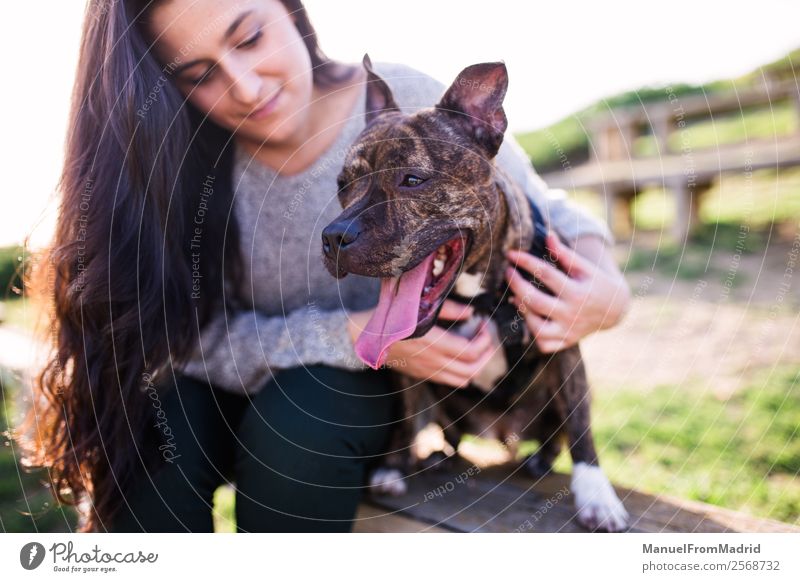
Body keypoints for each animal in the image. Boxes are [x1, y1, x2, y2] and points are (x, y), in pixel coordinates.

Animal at [322, 56, 628, 532]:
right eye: (341, 184)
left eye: (413, 179)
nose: (334, 237)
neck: (480, 296)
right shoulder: (408, 370)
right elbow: (406, 416)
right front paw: (392, 465)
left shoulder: (564, 339)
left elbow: (581, 427)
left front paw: (596, 494)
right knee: (445, 432)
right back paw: (438, 457)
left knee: (558, 432)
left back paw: (540, 460)